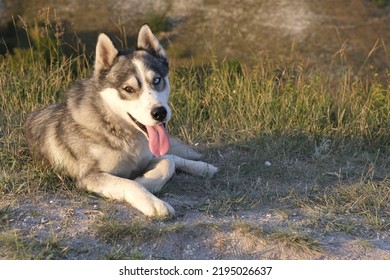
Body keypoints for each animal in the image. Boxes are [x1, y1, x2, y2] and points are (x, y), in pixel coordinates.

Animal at [25, 24, 216, 217]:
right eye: (128, 89)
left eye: (157, 80)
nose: (159, 113)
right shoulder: (89, 176)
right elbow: (129, 182)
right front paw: (152, 201)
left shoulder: (145, 158)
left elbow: (167, 162)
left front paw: (146, 180)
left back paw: (203, 167)